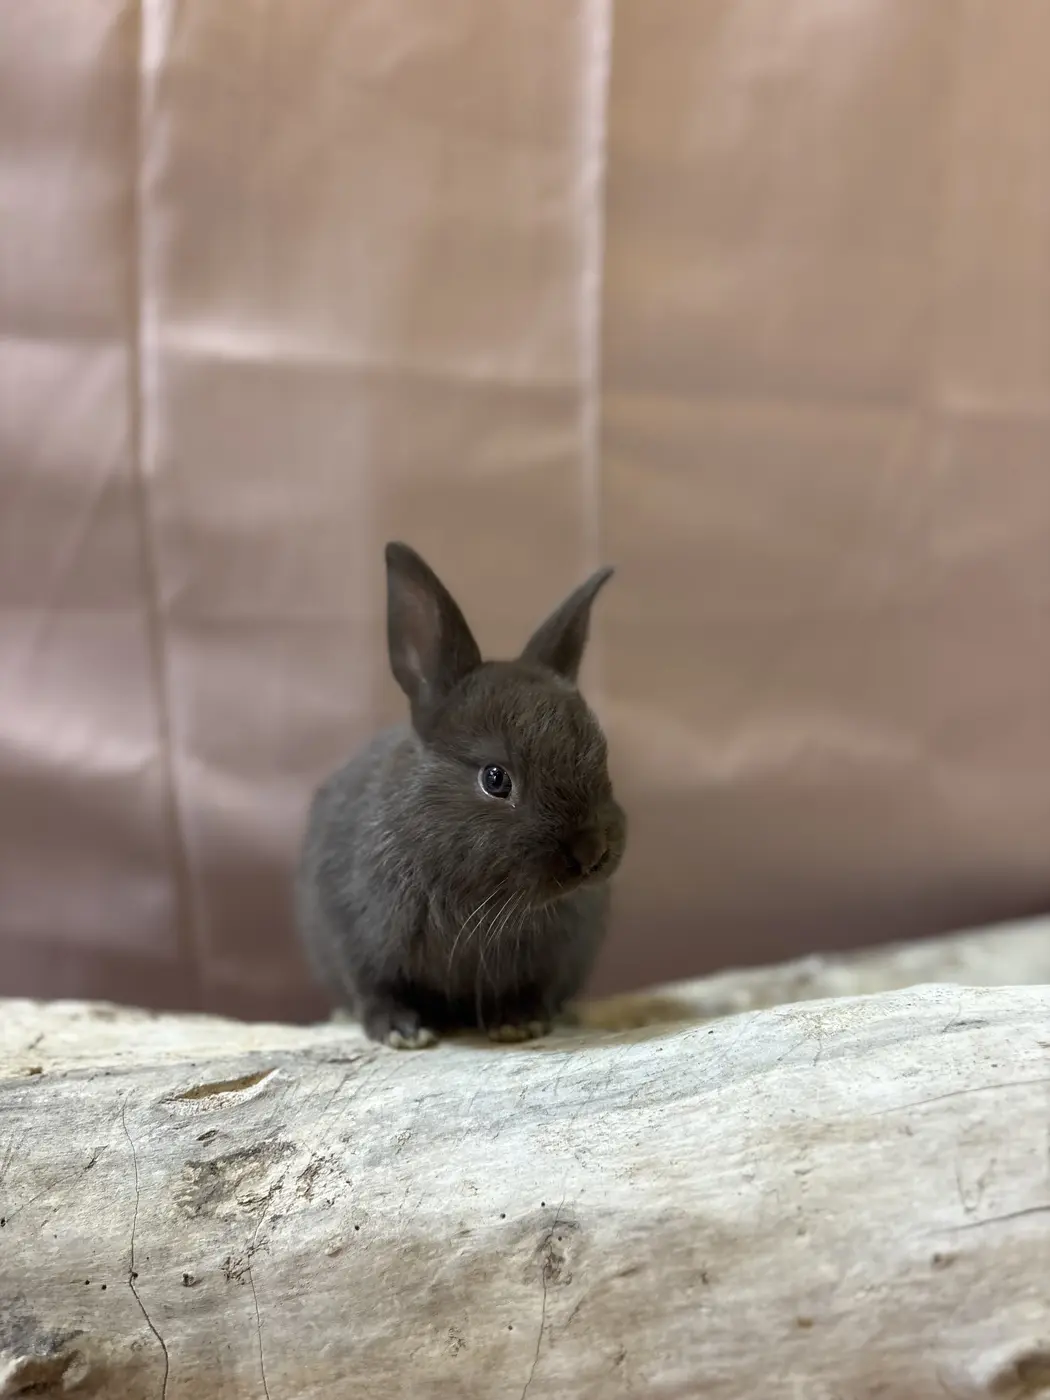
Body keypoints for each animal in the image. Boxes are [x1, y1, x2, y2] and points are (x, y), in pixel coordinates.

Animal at [295, 541, 627, 1049]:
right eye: (496, 779)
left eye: (599, 755)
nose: (591, 852)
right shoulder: (354, 939)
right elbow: (375, 989)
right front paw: (401, 1032)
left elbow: (531, 989)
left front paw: (519, 1023)